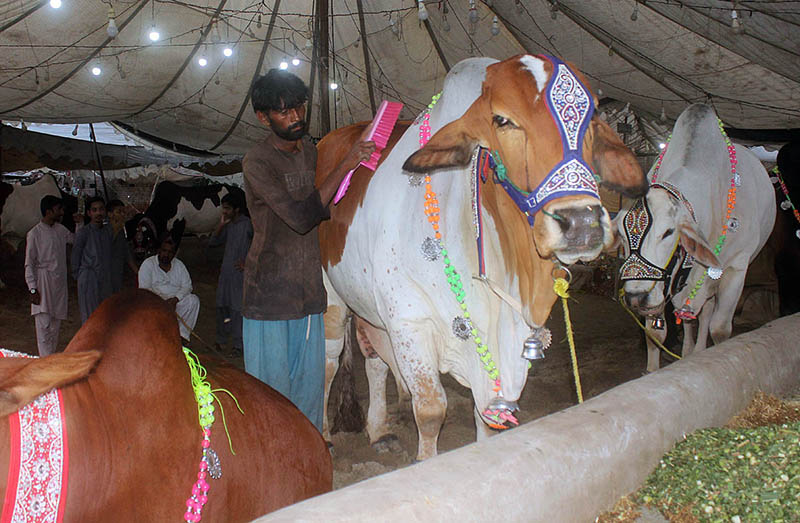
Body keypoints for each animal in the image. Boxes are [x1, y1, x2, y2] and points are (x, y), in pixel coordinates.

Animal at [316, 55, 648, 460]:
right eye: (501, 120)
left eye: (591, 115)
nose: (581, 221)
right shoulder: (410, 321)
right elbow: (431, 411)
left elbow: (488, 420)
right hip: (332, 296)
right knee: (329, 362)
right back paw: (325, 434)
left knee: (375, 362)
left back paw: (378, 430)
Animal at [620, 103, 776, 372]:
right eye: (622, 232)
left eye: (668, 232)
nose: (636, 297)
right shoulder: (665, 288)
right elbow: (655, 334)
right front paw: (651, 371)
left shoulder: (735, 268)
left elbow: (720, 329)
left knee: (705, 315)